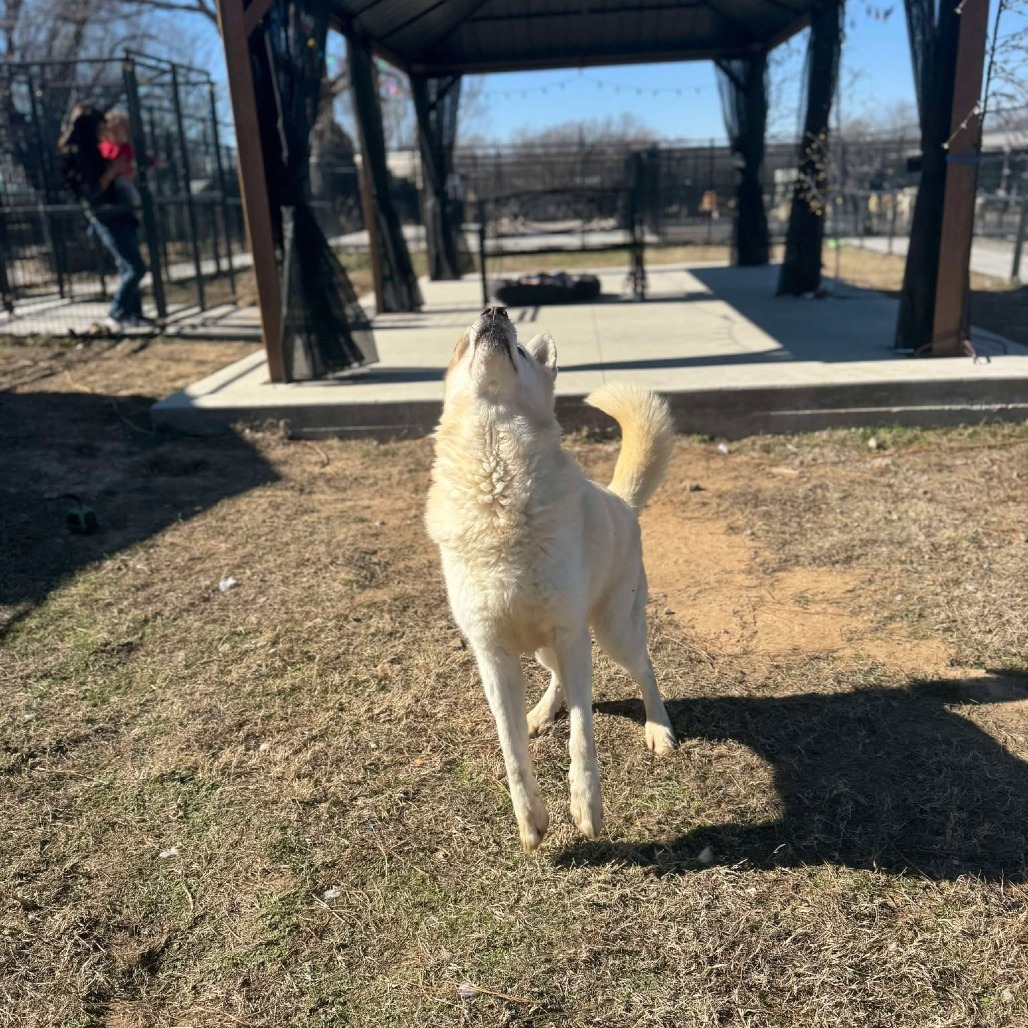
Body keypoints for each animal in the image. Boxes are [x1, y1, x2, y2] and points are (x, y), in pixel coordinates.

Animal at [421, 304, 678, 851]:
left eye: (519, 350)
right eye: (464, 344)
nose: (494, 309)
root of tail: (620, 500)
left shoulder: (571, 632)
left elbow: (583, 735)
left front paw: (586, 808)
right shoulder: (492, 653)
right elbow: (512, 749)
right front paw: (531, 819)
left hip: (613, 632)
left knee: (644, 669)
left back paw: (658, 728)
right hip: (546, 646)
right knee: (558, 675)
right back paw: (541, 712)